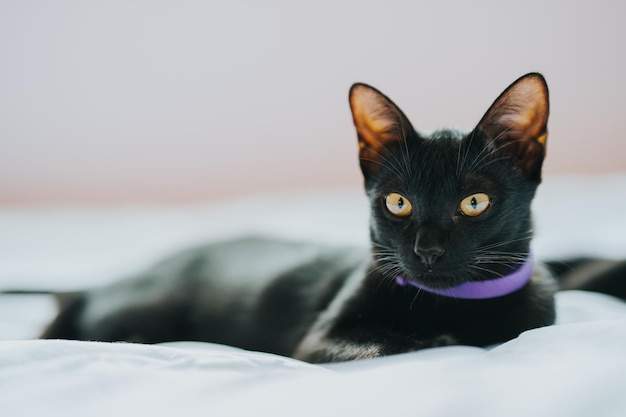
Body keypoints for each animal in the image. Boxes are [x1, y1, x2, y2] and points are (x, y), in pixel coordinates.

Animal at [41, 74, 620, 360]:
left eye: (474, 202)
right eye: (398, 202)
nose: (427, 250)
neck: (448, 305)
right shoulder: (320, 339)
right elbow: (391, 343)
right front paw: (435, 338)